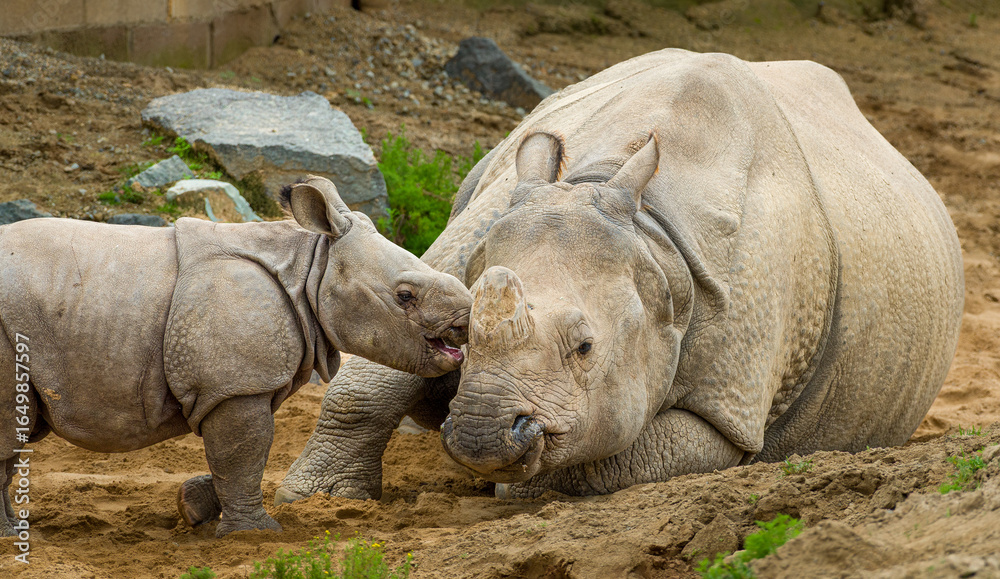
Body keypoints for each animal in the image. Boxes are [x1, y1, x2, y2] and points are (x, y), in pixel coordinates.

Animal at [0, 176, 471, 537]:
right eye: (405, 296)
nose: (468, 320)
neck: (309, 267)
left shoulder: (238, 381)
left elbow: (239, 455)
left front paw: (194, 507)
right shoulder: (238, 385)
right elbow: (244, 452)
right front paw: (256, 535)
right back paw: (10, 537)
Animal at [276, 49, 964, 503]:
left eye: (586, 348)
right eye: (468, 329)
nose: (480, 436)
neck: (651, 234)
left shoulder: (729, 404)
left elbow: (602, 457)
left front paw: (517, 491)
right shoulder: (473, 234)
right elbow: (372, 374)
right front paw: (318, 499)